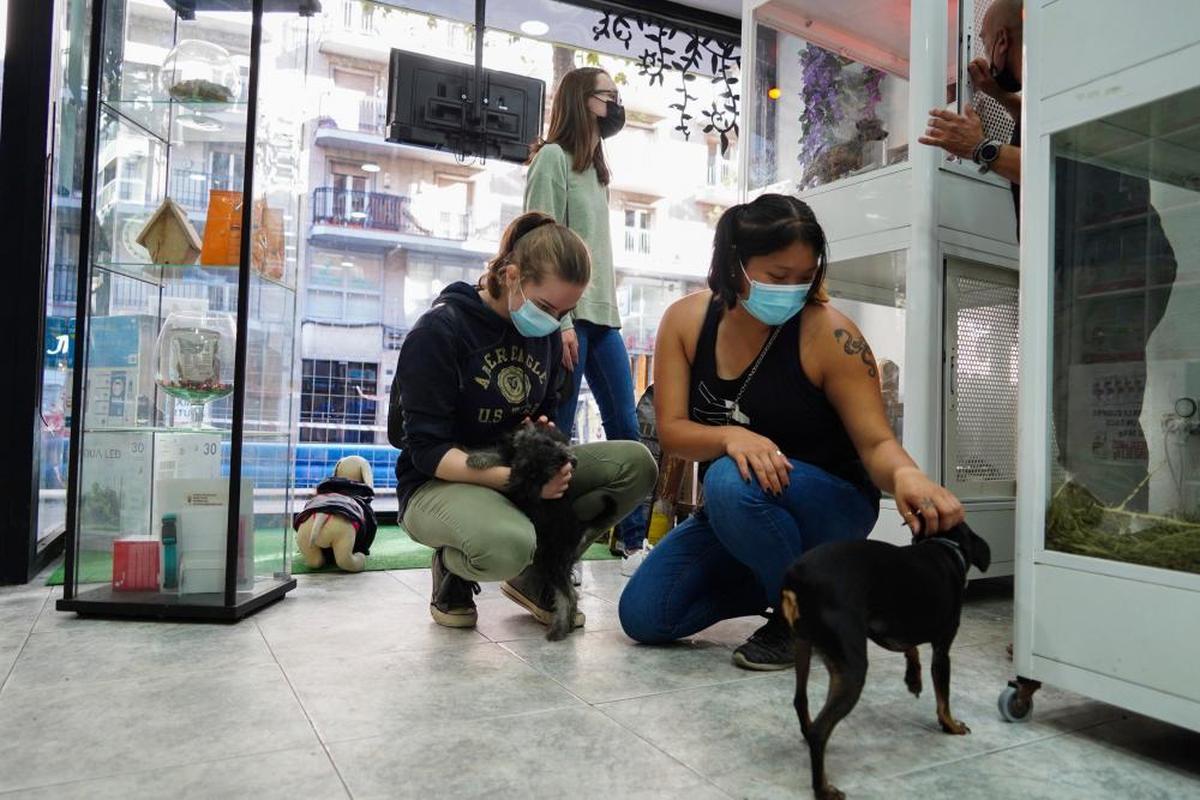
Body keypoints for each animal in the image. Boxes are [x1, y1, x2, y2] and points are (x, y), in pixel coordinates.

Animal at [468, 422, 600, 642]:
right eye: (526, 466)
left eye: (540, 475)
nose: (517, 484)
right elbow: (500, 456)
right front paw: (478, 458)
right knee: (571, 594)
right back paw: (569, 625)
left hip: (552, 561)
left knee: (567, 595)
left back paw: (559, 629)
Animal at [777, 522, 993, 796]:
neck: (945, 544)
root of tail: (797, 578)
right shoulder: (942, 650)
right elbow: (943, 697)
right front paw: (951, 725)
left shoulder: (890, 628)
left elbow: (910, 648)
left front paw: (914, 678)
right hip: (852, 667)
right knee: (820, 730)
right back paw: (823, 788)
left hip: (803, 644)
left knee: (800, 700)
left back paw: (806, 733)